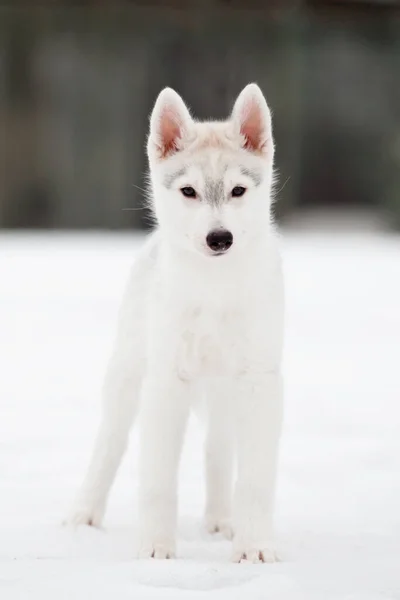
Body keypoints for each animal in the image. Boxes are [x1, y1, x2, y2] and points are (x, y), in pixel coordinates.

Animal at [66, 83, 284, 564]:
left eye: (238, 190)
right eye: (188, 191)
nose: (219, 238)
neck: (214, 290)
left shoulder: (258, 383)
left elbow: (254, 480)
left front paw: (254, 547)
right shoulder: (167, 382)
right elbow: (158, 480)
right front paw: (157, 548)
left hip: (223, 394)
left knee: (217, 450)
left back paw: (221, 520)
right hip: (128, 378)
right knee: (109, 446)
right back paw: (84, 515)